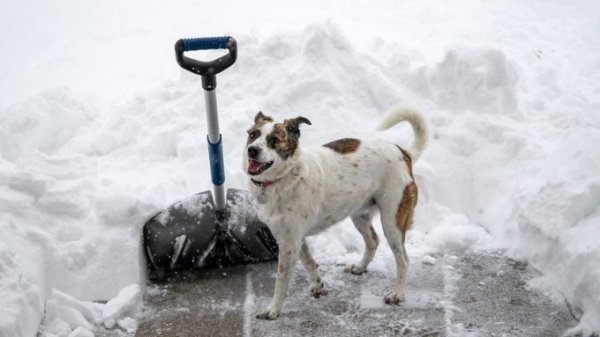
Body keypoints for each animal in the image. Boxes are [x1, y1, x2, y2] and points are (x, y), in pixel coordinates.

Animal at [241, 105, 428, 318]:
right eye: (252, 135)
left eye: (273, 140)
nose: (252, 150)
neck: (285, 177)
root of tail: (404, 153)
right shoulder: (295, 239)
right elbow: (309, 262)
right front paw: (317, 285)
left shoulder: (289, 243)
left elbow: (280, 281)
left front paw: (273, 310)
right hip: (360, 215)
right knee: (373, 241)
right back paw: (360, 267)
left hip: (392, 221)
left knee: (403, 259)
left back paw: (397, 293)